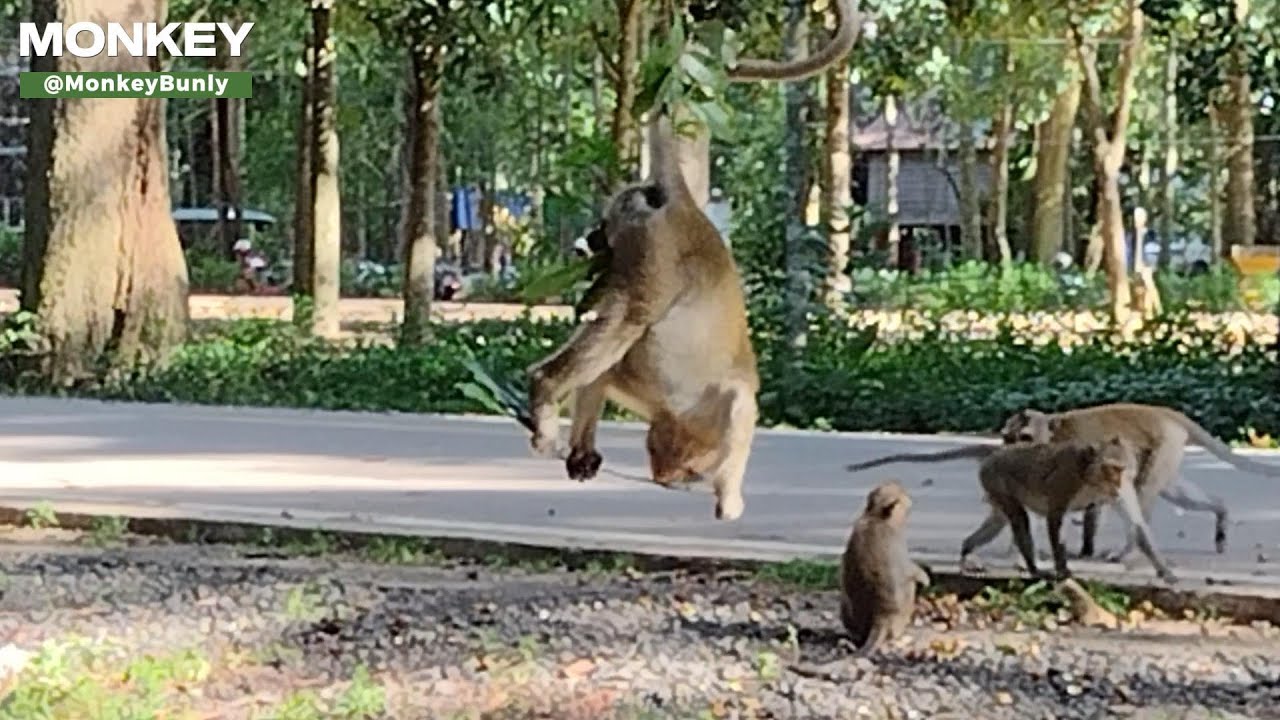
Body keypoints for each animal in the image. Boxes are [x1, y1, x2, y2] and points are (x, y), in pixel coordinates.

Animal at [839, 481, 930, 656]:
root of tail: (881, 618)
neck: (875, 516)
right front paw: (925, 578)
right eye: (900, 493)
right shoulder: (898, 541)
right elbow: (910, 569)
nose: (909, 498)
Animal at [959, 436, 1178, 585]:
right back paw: (1033, 568)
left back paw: (967, 549)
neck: (1091, 479)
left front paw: (1165, 571)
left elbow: (1136, 524)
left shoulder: (1124, 489)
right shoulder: (1067, 478)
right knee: (1019, 517)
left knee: (998, 521)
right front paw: (1063, 570)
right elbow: (1055, 516)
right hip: (994, 478)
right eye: (1111, 469)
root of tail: (992, 455)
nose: (1117, 482)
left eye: (1122, 470)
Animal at [1001, 403, 1280, 561]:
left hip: (1164, 445)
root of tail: (1167, 414)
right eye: (1007, 437)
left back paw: (1129, 551)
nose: (1010, 451)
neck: (1053, 435)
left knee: (1141, 492)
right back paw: (1221, 512)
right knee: (1175, 492)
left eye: (1024, 437)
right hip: (1168, 453)